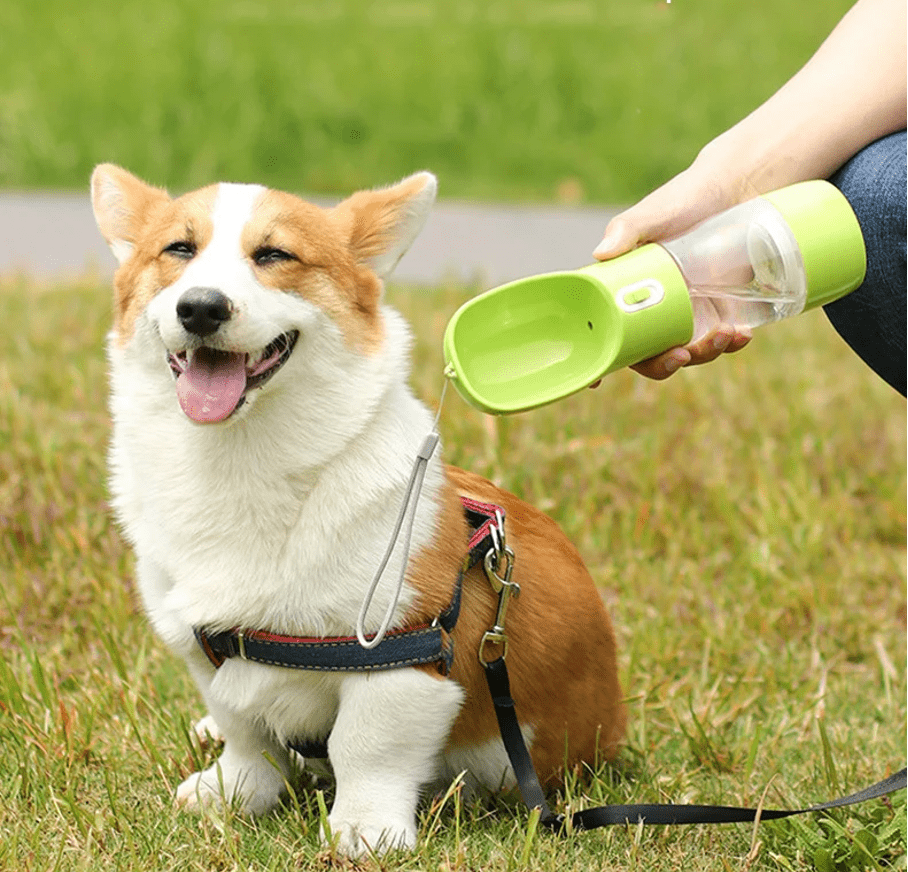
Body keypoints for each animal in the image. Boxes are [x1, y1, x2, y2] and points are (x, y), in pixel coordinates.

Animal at [90, 165, 624, 860]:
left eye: (274, 255)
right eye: (178, 249)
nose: (201, 307)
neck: (240, 462)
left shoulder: (401, 658)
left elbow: (365, 747)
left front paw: (364, 831)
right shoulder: (204, 647)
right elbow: (246, 733)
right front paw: (232, 793)